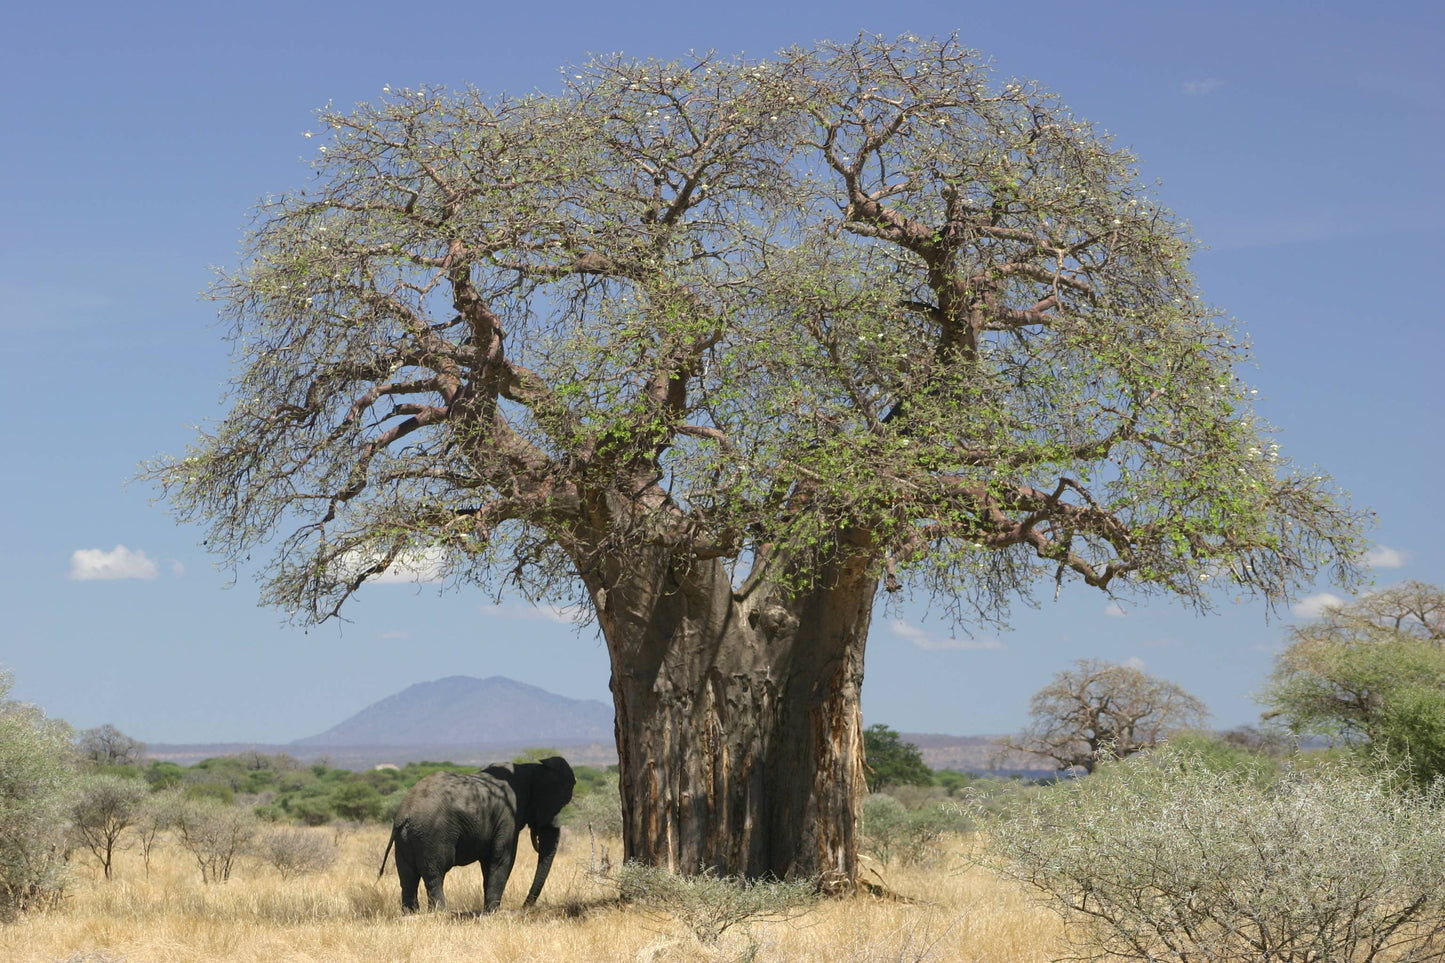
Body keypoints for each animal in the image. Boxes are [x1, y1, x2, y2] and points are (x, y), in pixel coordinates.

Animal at [378, 751, 575, 913]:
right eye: (558, 803)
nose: (523, 908)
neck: (530, 768)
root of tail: (404, 815)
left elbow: (488, 862)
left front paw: (489, 910)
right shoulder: (507, 816)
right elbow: (503, 858)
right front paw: (493, 912)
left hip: (405, 838)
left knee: (407, 875)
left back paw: (411, 914)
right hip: (432, 834)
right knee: (434, 873)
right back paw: (441, 912)